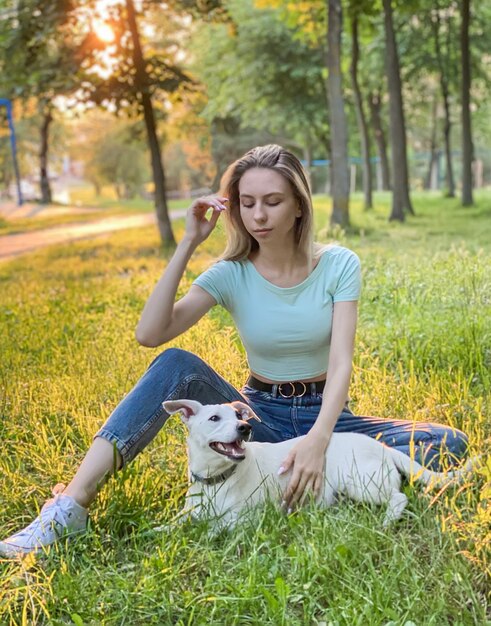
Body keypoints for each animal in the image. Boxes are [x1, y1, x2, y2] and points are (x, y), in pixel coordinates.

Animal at [164, 400, 472, 528]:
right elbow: (174, 525)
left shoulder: (244, 520)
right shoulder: (188, 513)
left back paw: (386, 522)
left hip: (359, 481)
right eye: (214, 418)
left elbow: (213, 529)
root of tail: (383, 448)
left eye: (239, 416)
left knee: (398, 497)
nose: (245, 427)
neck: (217, 479)